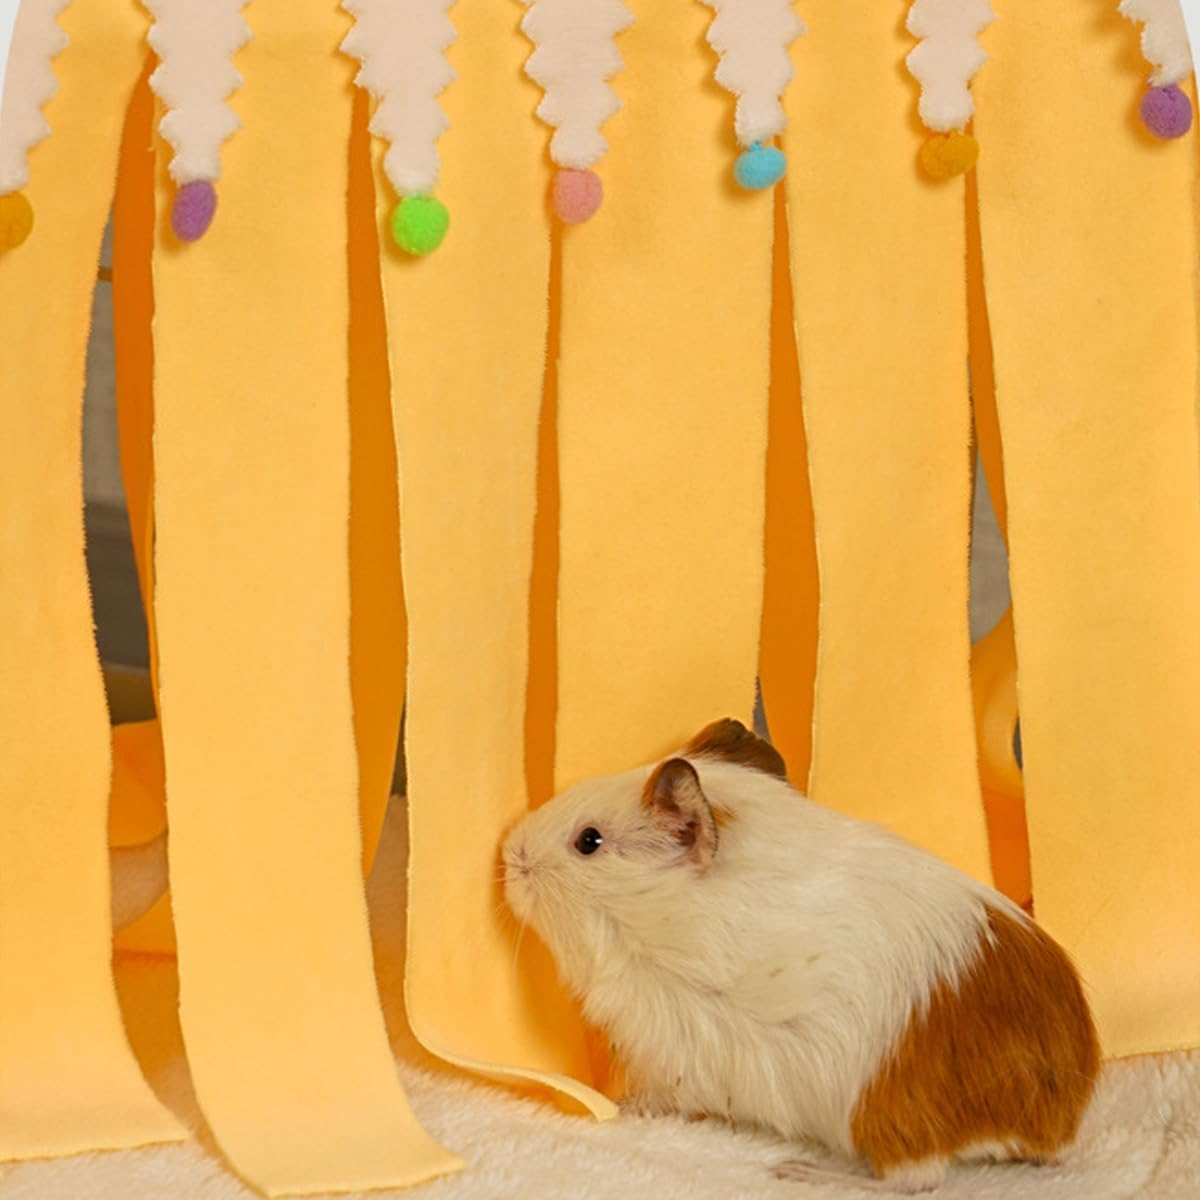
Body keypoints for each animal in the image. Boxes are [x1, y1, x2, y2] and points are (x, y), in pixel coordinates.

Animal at [503, 719, 1100, 1193]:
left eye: (589, 841)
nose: (511, 851)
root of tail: (1058, 1120)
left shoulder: (673, 1052)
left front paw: (624, 1108)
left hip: (888, 1121)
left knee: (914, 1181)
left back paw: (798, 1171)